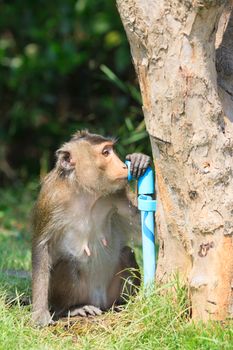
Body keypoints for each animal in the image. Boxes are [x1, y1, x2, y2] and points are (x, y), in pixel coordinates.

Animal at [31, 130, 151, 326]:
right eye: (105, 153)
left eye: (112, 150)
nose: (123, 166)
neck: (86, 191)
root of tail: (99, 301)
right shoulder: (51, 198)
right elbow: (42, 247)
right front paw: (40, 314)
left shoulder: (117, 194)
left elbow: (141, 225)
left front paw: (138, 159)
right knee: (68, 264)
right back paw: (73, 308)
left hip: (110, 293)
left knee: (126, 252)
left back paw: (122, 304)